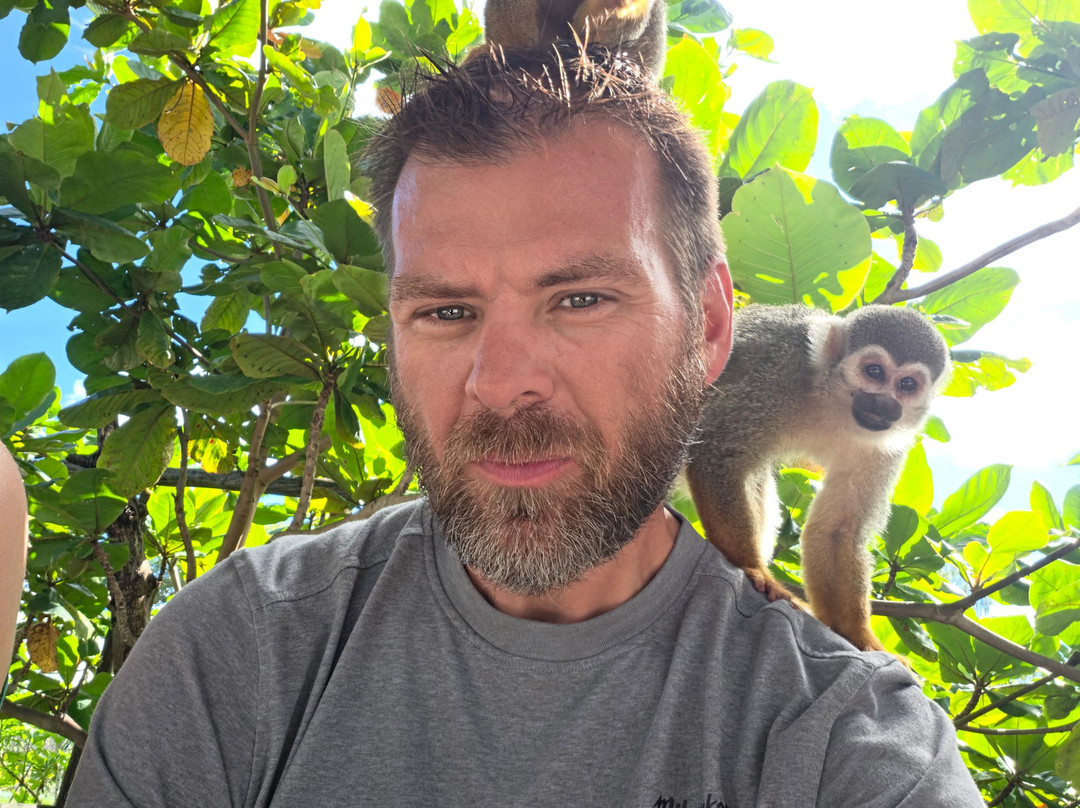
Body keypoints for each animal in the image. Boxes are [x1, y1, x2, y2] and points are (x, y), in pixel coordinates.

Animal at [686, 303, 950, 654]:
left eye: (907, 385)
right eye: (874, 372)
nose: (884, 404)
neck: (833, 402)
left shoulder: (886, 447)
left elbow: (835, 531)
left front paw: (859, 635)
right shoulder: (775, 375)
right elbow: (715, 454)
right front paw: (752, 567)